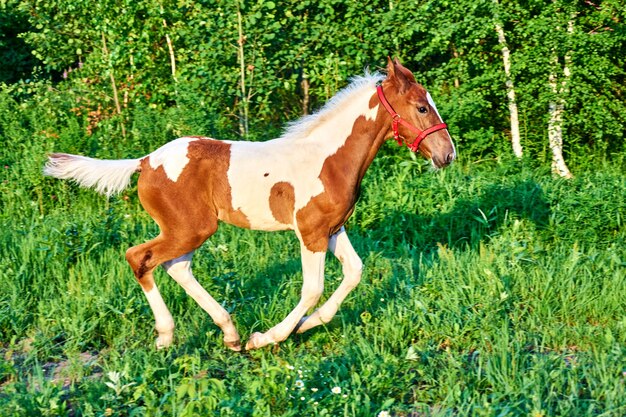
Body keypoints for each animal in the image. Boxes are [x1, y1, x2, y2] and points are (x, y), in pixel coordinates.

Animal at [44, 58, 454, 350]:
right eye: (421, 108)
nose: (447, 154)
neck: (329, 158)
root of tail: (145, 161)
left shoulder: (332, 229)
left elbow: (354, 272)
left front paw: (307, 325)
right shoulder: (310, 233)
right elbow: (313, 288)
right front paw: (269, 337)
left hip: (187, 230)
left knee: (176, 266)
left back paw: (229, 333)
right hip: (190, 228)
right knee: (140, 258)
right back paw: (167, 335)